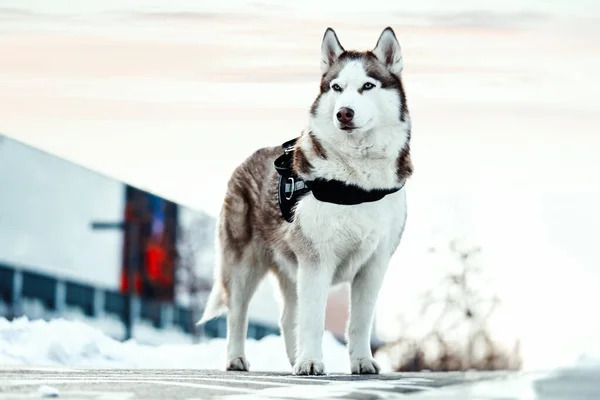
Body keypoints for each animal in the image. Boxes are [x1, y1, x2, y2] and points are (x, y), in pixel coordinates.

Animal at [197, 27, 412, 376]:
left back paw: (291, 358)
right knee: (238, 313)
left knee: (287, 317)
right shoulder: (316, 259)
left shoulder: (374, 264)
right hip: (243, 265)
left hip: (290, 269)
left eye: (367, 85)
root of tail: (249, 157)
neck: (356, 182)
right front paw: (311, 361)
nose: (344, 112)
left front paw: (361, 361)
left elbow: (360, 321)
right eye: (337, 87)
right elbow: (313, 319)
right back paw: (237, 358)